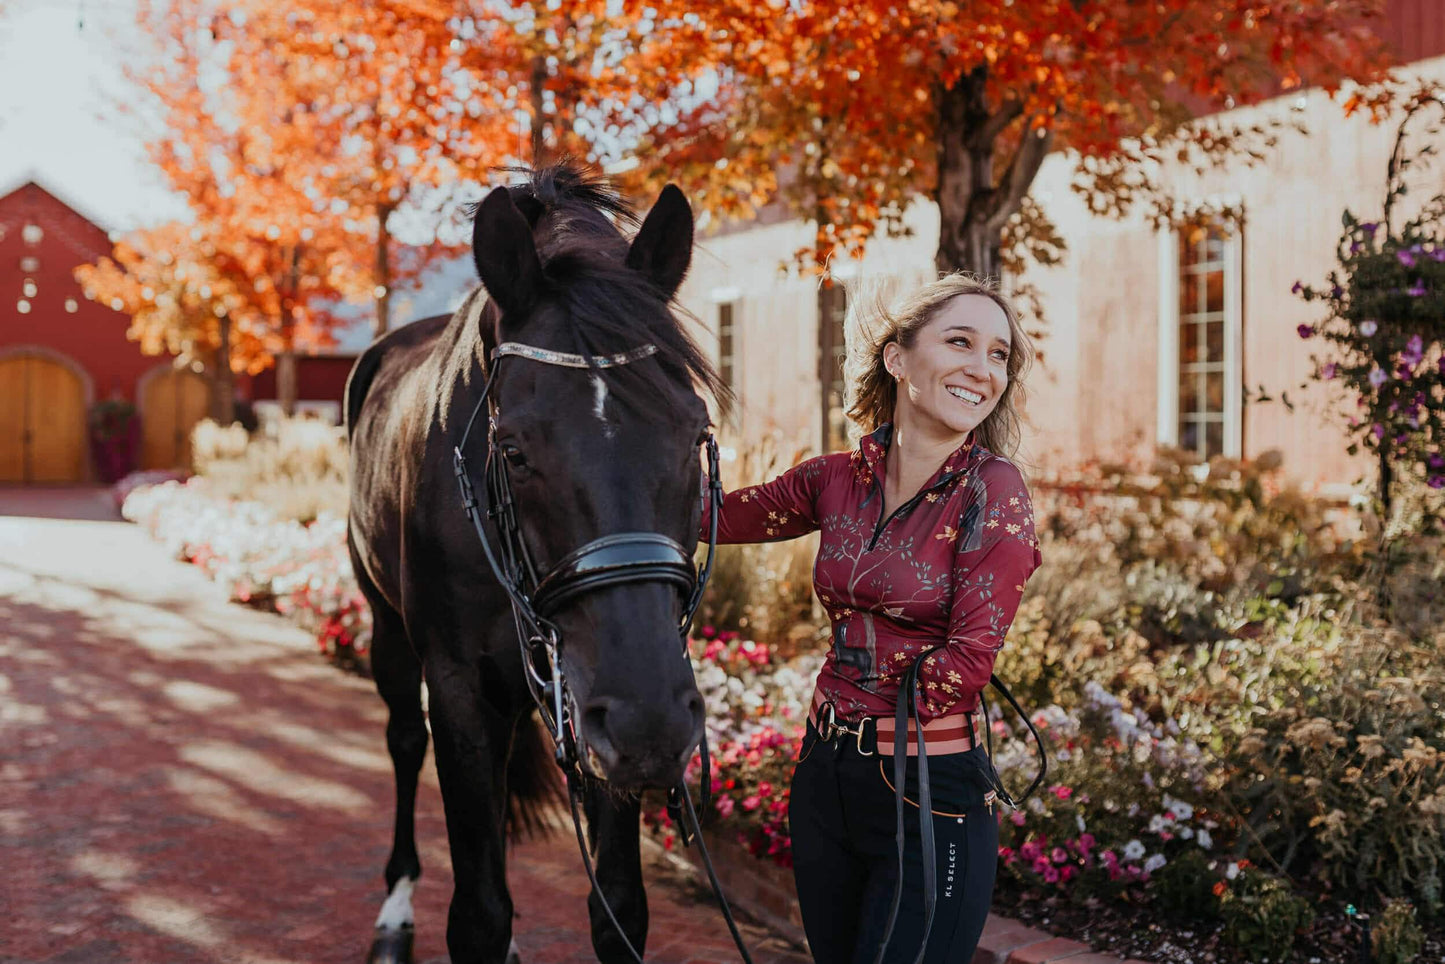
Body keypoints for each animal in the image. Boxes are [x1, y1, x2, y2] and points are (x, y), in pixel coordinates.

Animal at [345, 166, 728, 964]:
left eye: (694, 432)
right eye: (514, 450)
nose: (652, 722)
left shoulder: (594, 702)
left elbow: (619, 908)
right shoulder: (459, 684)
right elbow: (479, 914)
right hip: (385, 625)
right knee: (404, 740)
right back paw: (396, 909)